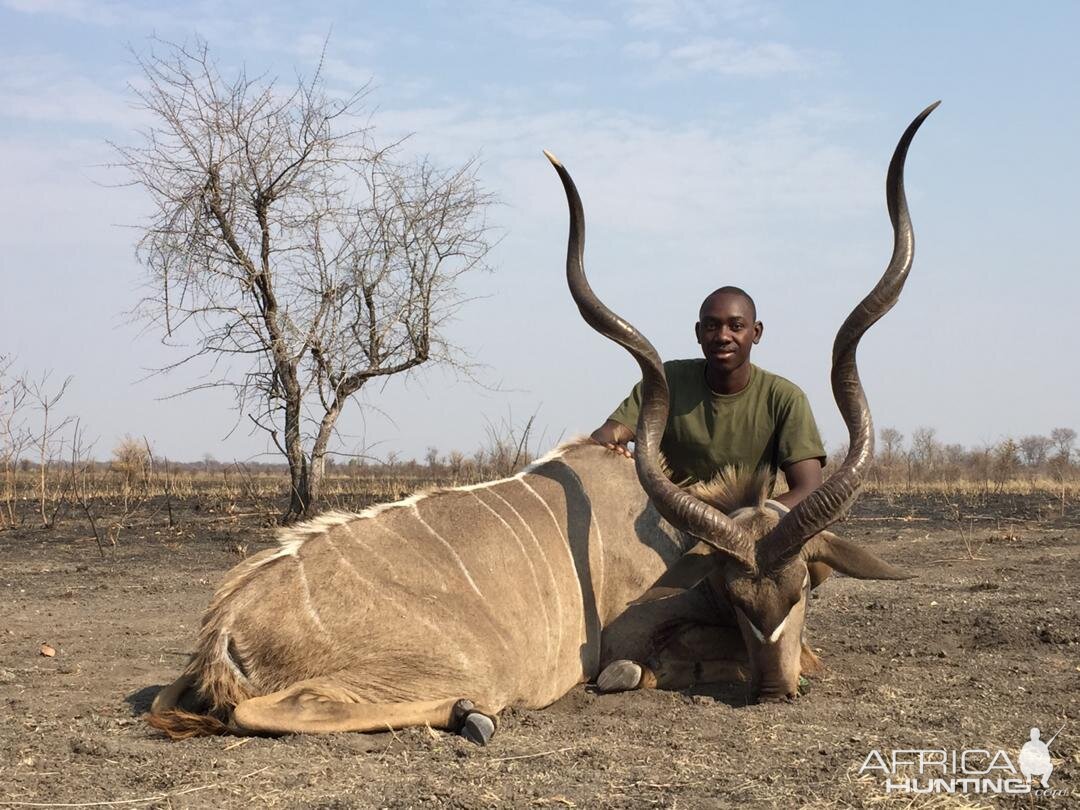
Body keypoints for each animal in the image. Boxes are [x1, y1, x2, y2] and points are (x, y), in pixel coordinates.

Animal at [147, 104, 933, 747]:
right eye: (739, 598)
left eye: (799, 591)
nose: (773, 691)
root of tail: (225, 627)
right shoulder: (627, 635)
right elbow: (636, 667)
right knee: (263, 710)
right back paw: (469, 712)